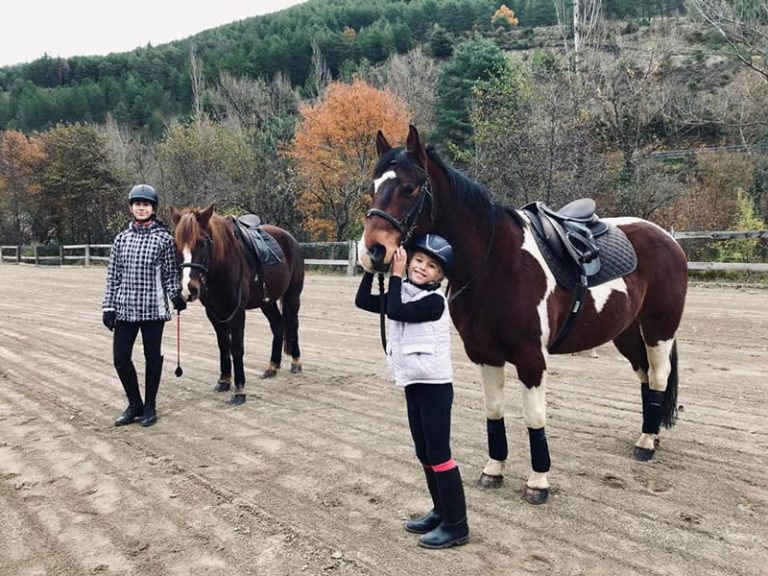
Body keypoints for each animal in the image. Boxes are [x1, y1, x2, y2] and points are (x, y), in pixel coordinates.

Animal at [172, 204, 304, 404]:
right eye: (176, 245)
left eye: (202, 243)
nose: (189, 289)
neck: (222, 266)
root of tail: (290, 239)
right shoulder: (214, 313)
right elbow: (223, 345)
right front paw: (224, 381)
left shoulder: (237, 312)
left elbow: (236, 348)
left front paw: (240, 390)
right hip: (267, 302)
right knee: (278, 325)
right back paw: (272, 367)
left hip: (292, 296)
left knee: (293, 325)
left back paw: (296, 362)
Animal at [362, 125, 688, 504]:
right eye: (373, 186)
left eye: (409, 187)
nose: (373, 252)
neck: (495, 262)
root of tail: (667, 237)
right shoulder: (484, 355)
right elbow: (494, 411)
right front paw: (494, 469)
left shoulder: (531, 358)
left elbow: (534, 418)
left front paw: (538, 481)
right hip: (625, 333)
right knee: (645, 376)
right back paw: (650, 434)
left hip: (659, 329)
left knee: (659, 375)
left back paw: (647, 443)